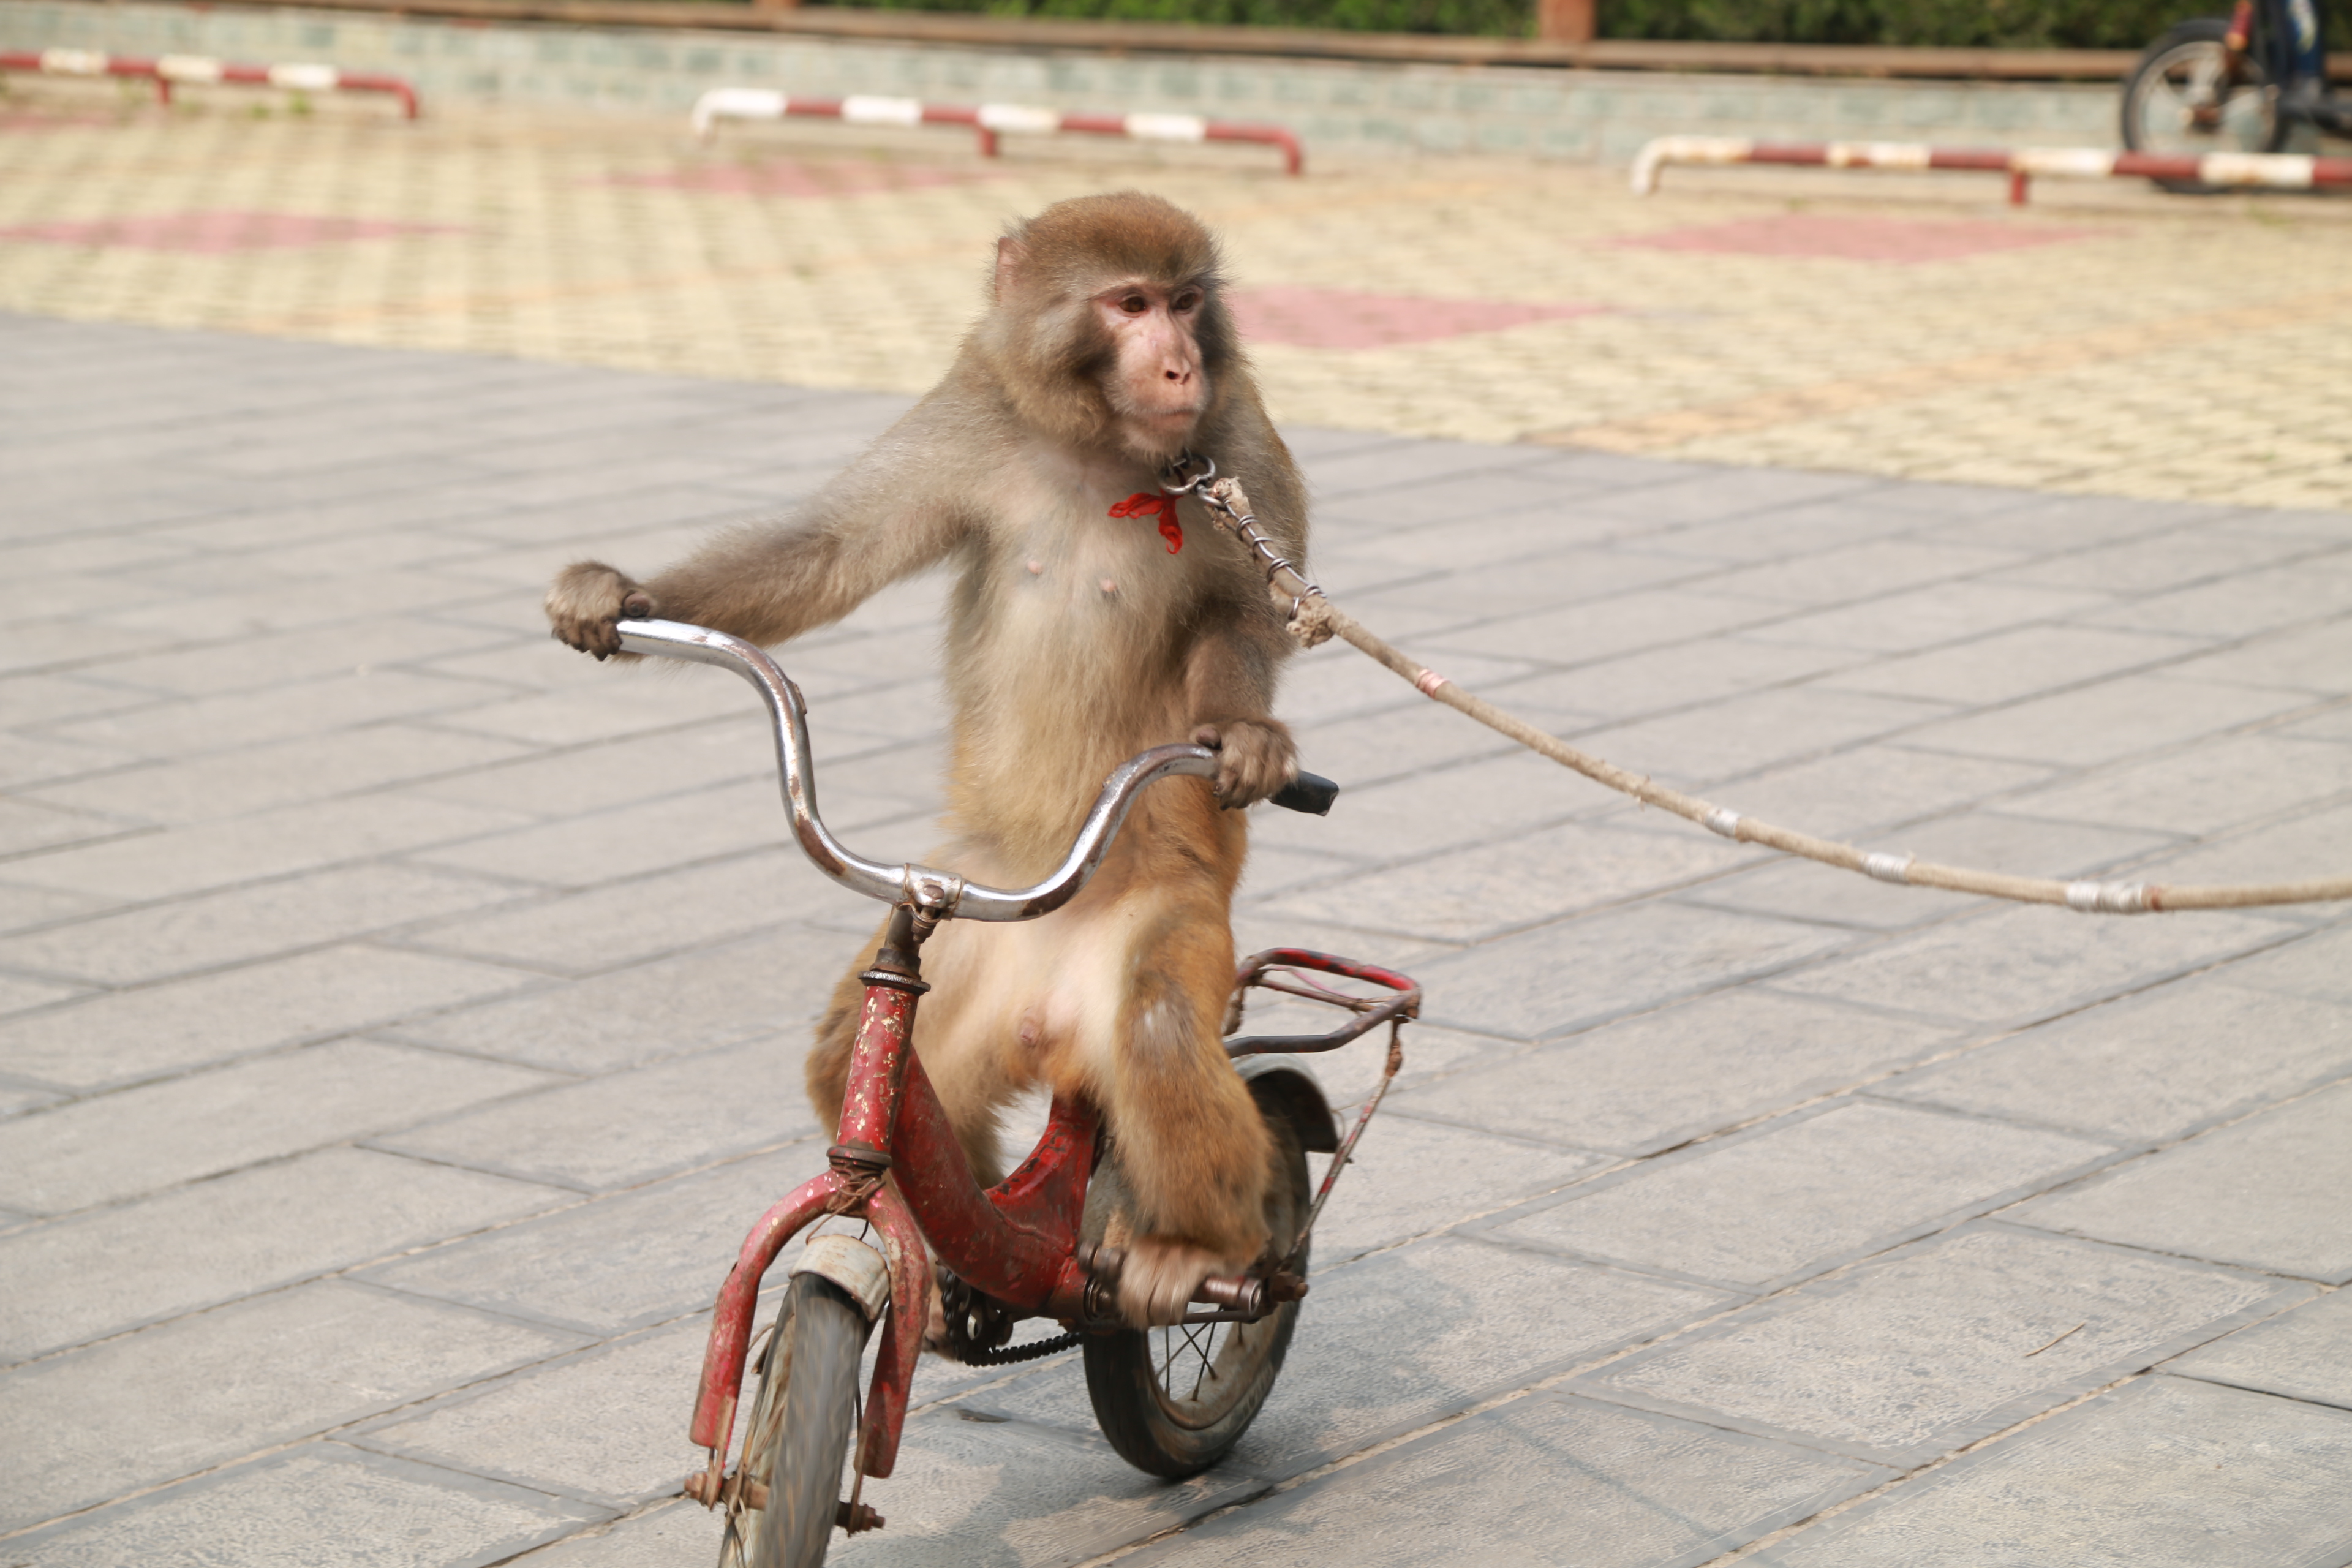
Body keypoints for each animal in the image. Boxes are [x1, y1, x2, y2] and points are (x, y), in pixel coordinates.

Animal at [545, 192, 1308, 1325]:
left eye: (1184, 303)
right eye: (1130, 305)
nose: (1179, 368)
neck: (1095, 449)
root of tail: (1053, 1026)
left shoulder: (1237, 436)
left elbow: (1248, 616)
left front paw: (1245, 740)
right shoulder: (970, 415)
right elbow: (831, 549)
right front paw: (619, 594)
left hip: (1162, 931)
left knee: (1167, 1031)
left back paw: (1192, 1247)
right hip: (966, 969)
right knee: (863, 1069)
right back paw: (956, 1251)